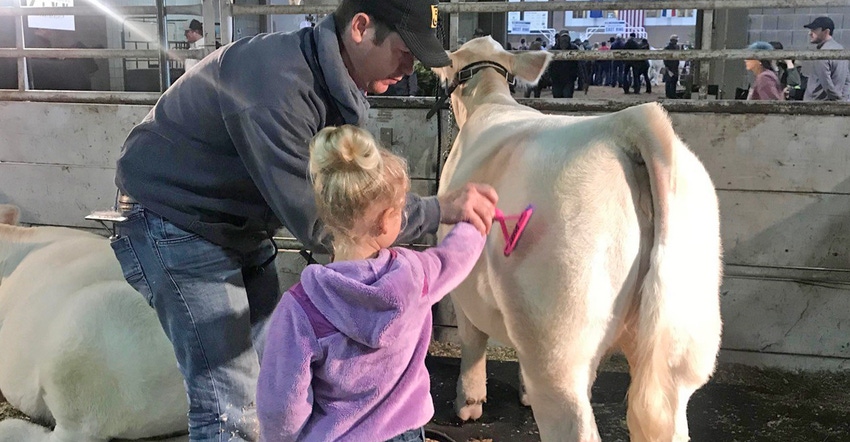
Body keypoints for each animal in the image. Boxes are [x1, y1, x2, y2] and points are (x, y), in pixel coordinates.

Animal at [434, 37, 720, 442]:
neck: (489, 99)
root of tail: (625, 123)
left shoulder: (466, 291)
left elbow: (472, 341)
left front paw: (469, 403)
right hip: (684, 342)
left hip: (558, 342)